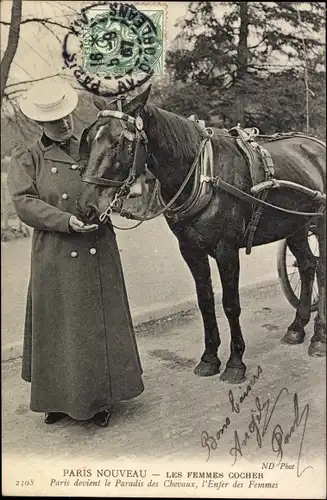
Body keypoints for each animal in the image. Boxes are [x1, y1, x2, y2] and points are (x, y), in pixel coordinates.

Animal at [76, 85, 326, 382]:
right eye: (90, 139)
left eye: (119, 142)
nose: (86, 207)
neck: (203, 174)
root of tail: (316, 145)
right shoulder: (191, 250)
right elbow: (205, 301)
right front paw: (209, 358)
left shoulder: (226, 251)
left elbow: (230, 304)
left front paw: (235, 363)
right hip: (296, 224)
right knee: (308, 265)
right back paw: (297, 327)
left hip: (320, 223)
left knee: (321, 271)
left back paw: (319, 337)